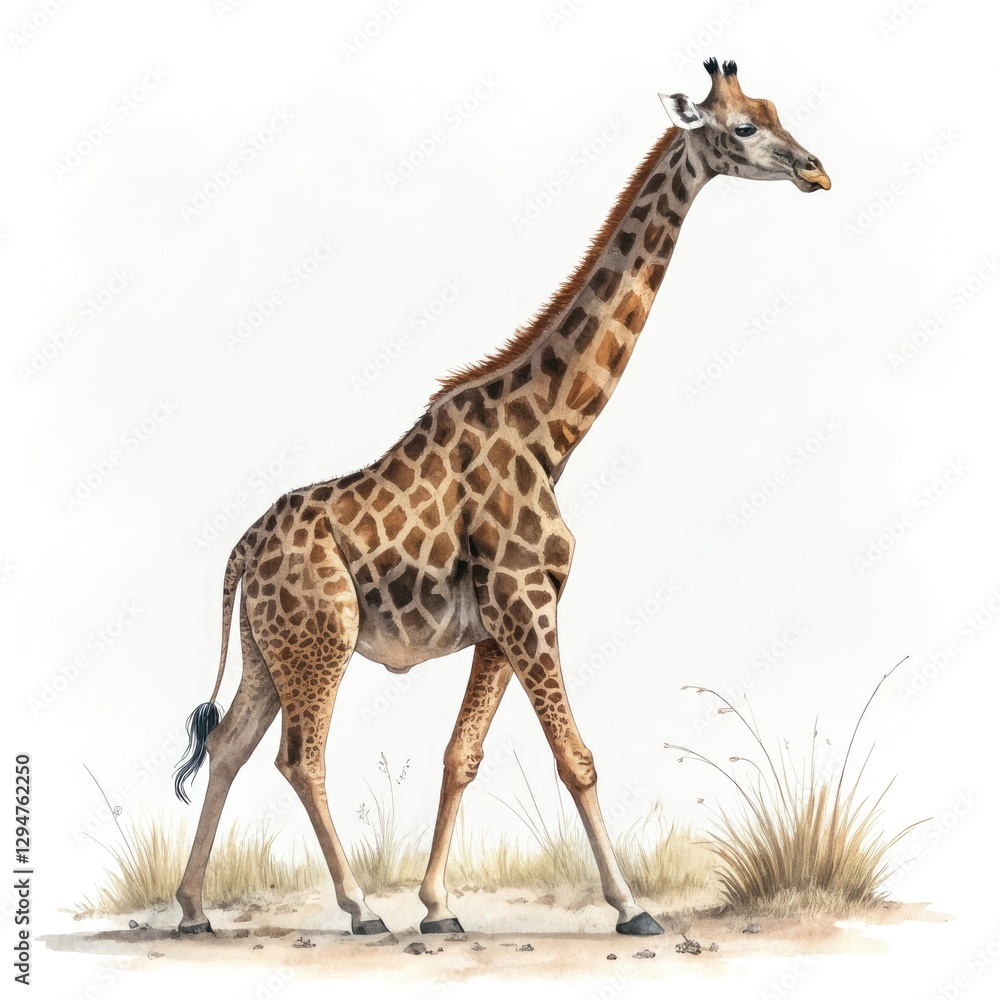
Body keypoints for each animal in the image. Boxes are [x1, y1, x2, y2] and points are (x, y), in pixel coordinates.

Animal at [172, 58, 829, 938]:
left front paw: (439, 908)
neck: (549, 433)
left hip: (269, 647)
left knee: (232, 745)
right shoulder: (527, 600)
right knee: (299, 758)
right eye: (744, 127)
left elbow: (462, 756)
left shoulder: (500, 619)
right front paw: (631, 908)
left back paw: (192, 910)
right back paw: (357, 909)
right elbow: (577, 759)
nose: (817, 170)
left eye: (774, 109)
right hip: (323, 639)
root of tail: (242, 550)